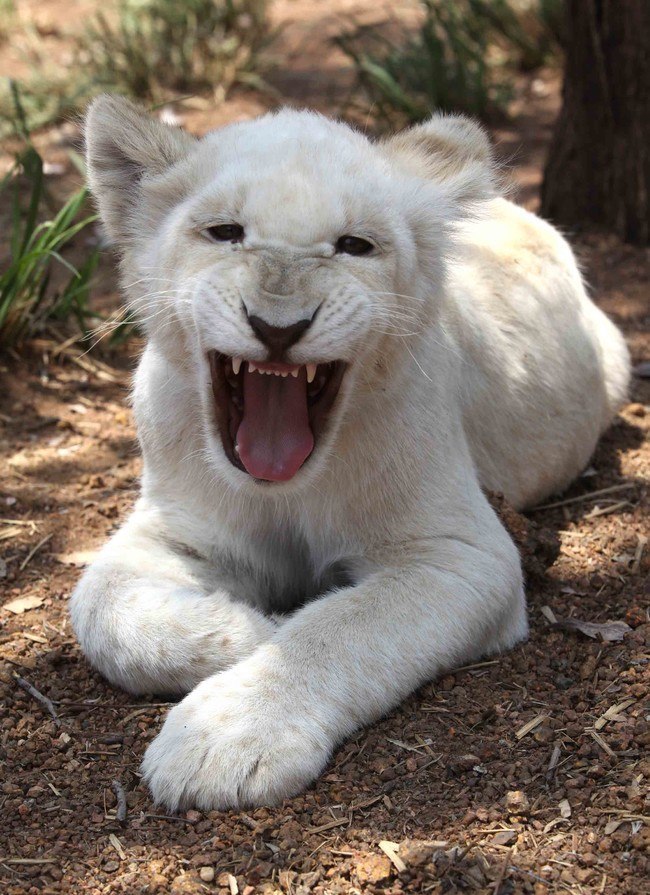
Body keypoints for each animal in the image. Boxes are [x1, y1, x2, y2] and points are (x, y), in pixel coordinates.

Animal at [71, 95, 630, 810]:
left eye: (354, 246)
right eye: (225, 232)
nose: (278, 326)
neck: (287, 490)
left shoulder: (462, 554)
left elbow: (338, 629)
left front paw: (224, 738)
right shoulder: (178, 528)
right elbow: (98, 603)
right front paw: (247, 631)